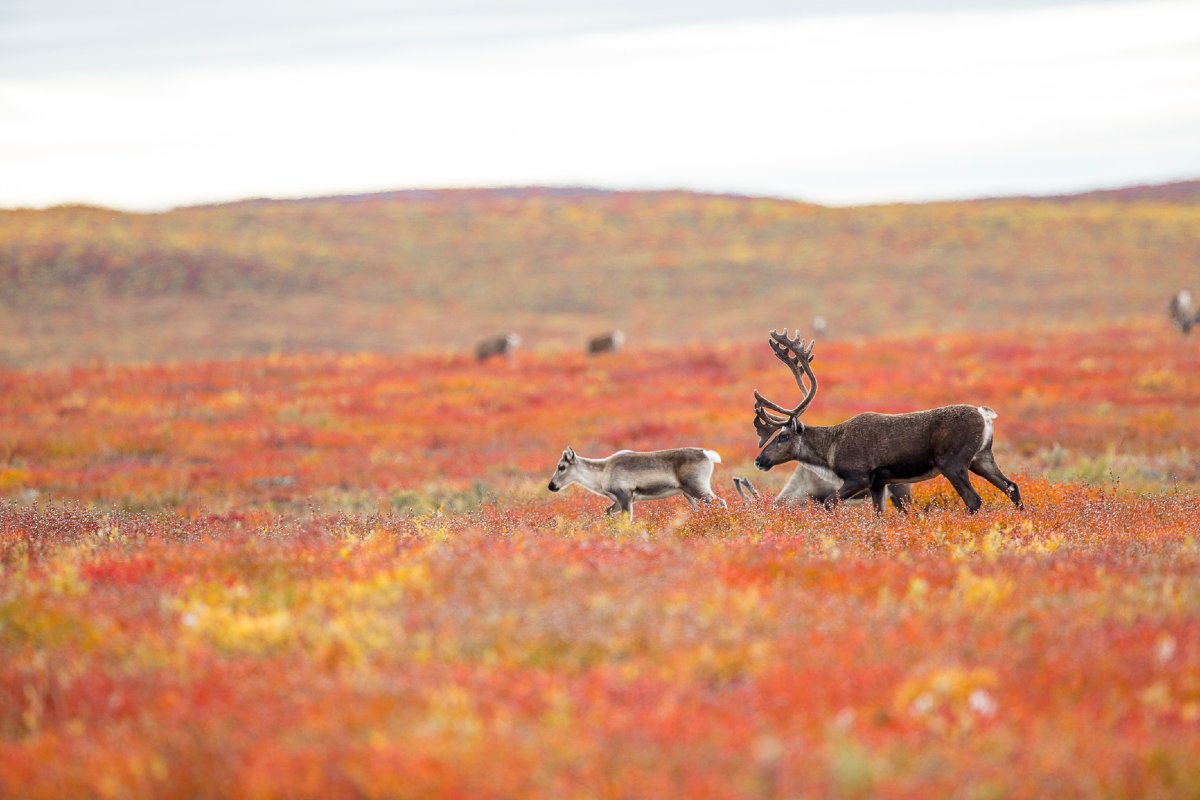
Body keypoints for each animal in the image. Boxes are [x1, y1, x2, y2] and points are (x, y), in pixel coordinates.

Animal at [549, 443, 724, 520]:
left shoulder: (625, 496)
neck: (602, 471)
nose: (551, 486)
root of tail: (707, 454)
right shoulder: (620, 500)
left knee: (720, 502)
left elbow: (627, 520)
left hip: (697, 487)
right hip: (688, 493)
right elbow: (607, 512)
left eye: (561, 467)